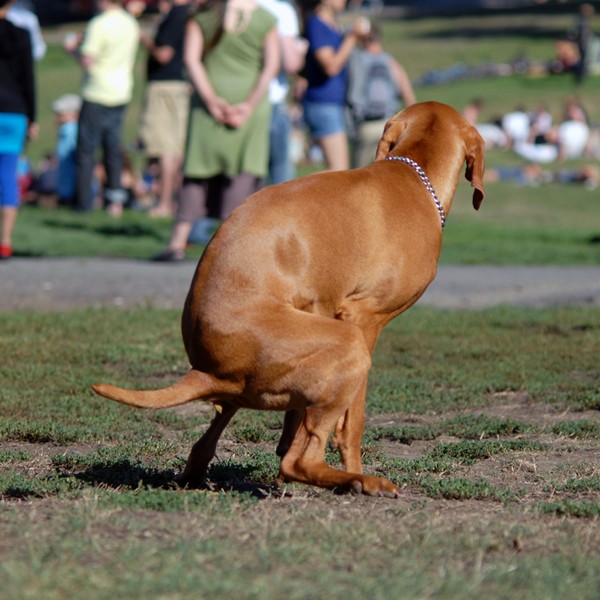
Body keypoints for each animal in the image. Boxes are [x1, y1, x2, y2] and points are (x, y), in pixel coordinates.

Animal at [95, 102, 488, 496]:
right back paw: (359, 480)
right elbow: (353, 424)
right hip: (349, 345)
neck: (411, 172)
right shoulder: (364, 319)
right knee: (300, 460)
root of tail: (206, 370)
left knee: (213, 440)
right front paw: (354, 465)